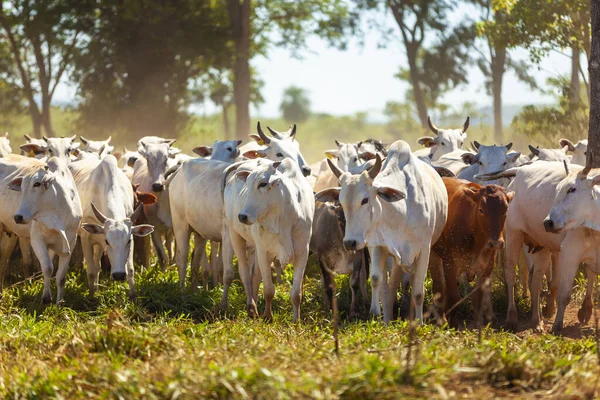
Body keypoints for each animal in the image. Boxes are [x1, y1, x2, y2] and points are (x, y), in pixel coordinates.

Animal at [0, 155, 82, 304]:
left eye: (37, 184)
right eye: (21, 187)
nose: (18, 217)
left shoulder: (69, 242)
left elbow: (61, 276)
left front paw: (59, 302)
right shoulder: (37, 240)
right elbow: (48, 268)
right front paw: (46, 298)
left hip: (10, 235)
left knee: (3, 261)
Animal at [69, 155, 154, 296]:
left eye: (128, 241)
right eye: (107, 241)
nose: (118, 275)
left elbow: (130, 269)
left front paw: (133, 296)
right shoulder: (87, 239)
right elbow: (91, 271)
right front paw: (91, 296)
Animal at [221, 157, 314, 322]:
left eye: (263, 184)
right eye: (247, 184)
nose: (242, 216)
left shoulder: (302, 252)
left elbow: (296, 294)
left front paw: (296, 320)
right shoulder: (264, 252)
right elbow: (269, 290)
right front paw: (268, 316)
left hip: (255, 246)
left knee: (255, 276)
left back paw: (253, 307)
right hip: (233, 234)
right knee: (242, 273)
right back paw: (243, 306)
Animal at [316, 141, 448, 322]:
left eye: (365, 200)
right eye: (340, 202)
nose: (350, 242)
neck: (401, 212)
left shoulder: (424, 249)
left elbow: (418, 292)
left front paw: (419, 322)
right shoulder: (378, 246)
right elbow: (378, 281)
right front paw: (382, 318)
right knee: (391, 284)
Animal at [428, 178, 512, 328]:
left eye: (506, 210)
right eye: (481, 210)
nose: (496, 243)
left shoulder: (486, 267)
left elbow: (478, 298)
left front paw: (477, 325)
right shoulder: (450, 263)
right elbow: (454, 296)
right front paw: (453, 324)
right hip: (434, 255)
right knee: (438, 286)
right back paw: (441, 318)